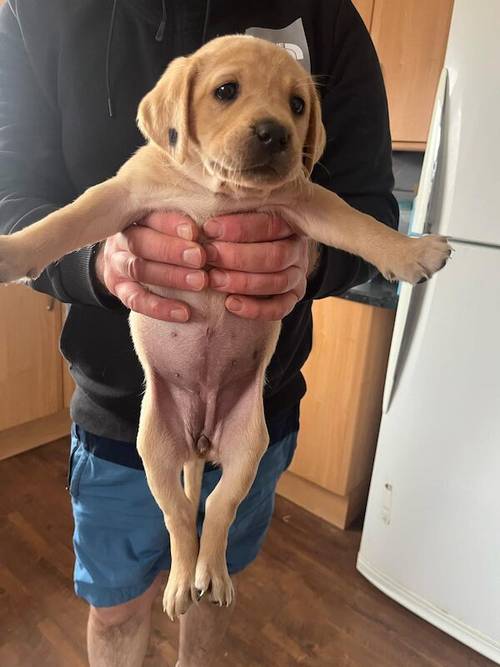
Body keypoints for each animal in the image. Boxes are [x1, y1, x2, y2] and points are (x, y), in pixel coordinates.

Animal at [0, 36, 450, 620]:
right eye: (225, 91)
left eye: (298, 105)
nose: (276, 133)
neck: (216, 188)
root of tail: (201, 440)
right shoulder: (121, 197)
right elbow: (62, 223)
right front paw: (13, 252)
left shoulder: (306, 201)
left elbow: (361, 225)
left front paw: (411, 252)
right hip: (154, 447)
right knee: (177, 517)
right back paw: (179, 583)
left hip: (248, 446)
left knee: (215, 510)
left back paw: (210, 577)